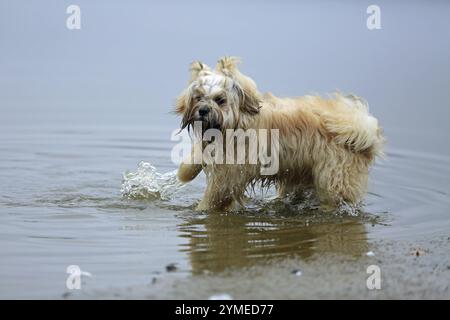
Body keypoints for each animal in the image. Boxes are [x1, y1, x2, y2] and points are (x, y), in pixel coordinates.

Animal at [175, 57, 384, 212]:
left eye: (220, 100)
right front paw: (184, 172)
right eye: (198, 97)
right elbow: (195, 156)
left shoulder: (229, 175)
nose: (203, 110)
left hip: (334, 178)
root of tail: (364, 134)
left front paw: (200, 210)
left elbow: (214, 196)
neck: (236, 124)